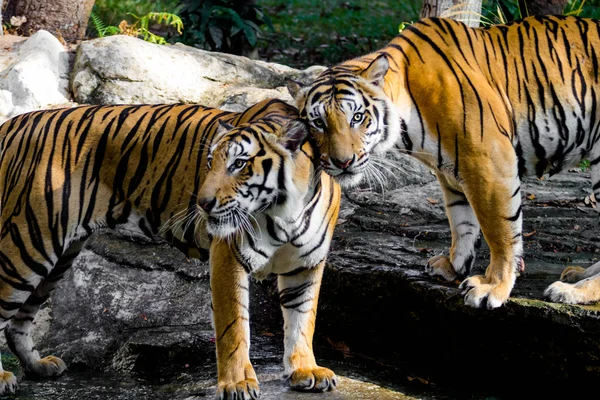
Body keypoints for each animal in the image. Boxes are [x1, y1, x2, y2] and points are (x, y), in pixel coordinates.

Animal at [0, 98, 340, 398]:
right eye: (209, 164)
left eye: (239, 164)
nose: (203, 203)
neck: (285, 211)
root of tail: (12, 123)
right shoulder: (229, 257)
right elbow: (234, 328)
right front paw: (237, 384)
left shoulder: (305, 265)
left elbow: (302, 320)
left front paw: (305, 371)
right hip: (27, 244)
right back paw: (4, 378)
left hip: (57, 256)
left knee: (19, 321)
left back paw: (38, 366)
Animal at [286, 14, 600, 310]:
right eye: (318, 122)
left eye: (357, 117)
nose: (342, 162)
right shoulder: (452, 169)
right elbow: (461, 221)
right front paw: (453, 266)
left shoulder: (490, 162)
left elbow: (500, 231)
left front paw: (493, 287)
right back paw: (577, 274)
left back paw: (573, 290)